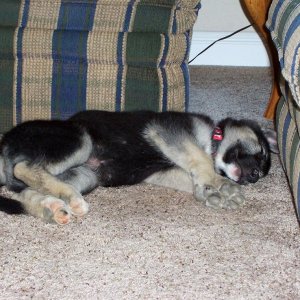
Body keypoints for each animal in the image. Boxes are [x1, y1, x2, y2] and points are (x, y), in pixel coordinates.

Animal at [0, 111, 278, 224]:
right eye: (262, 152)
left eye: (263, 168)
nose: (254, 177)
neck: (212, 140)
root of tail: (4, 144)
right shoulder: (170, 131)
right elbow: (200, 158)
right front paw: (221, 185)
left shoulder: (164, 171)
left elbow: (192, 173)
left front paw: (209, 192)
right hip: (81, 140)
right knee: (23, 168)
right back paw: (69, 199)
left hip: (86, 174)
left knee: (27, 191)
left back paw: (53, 209)